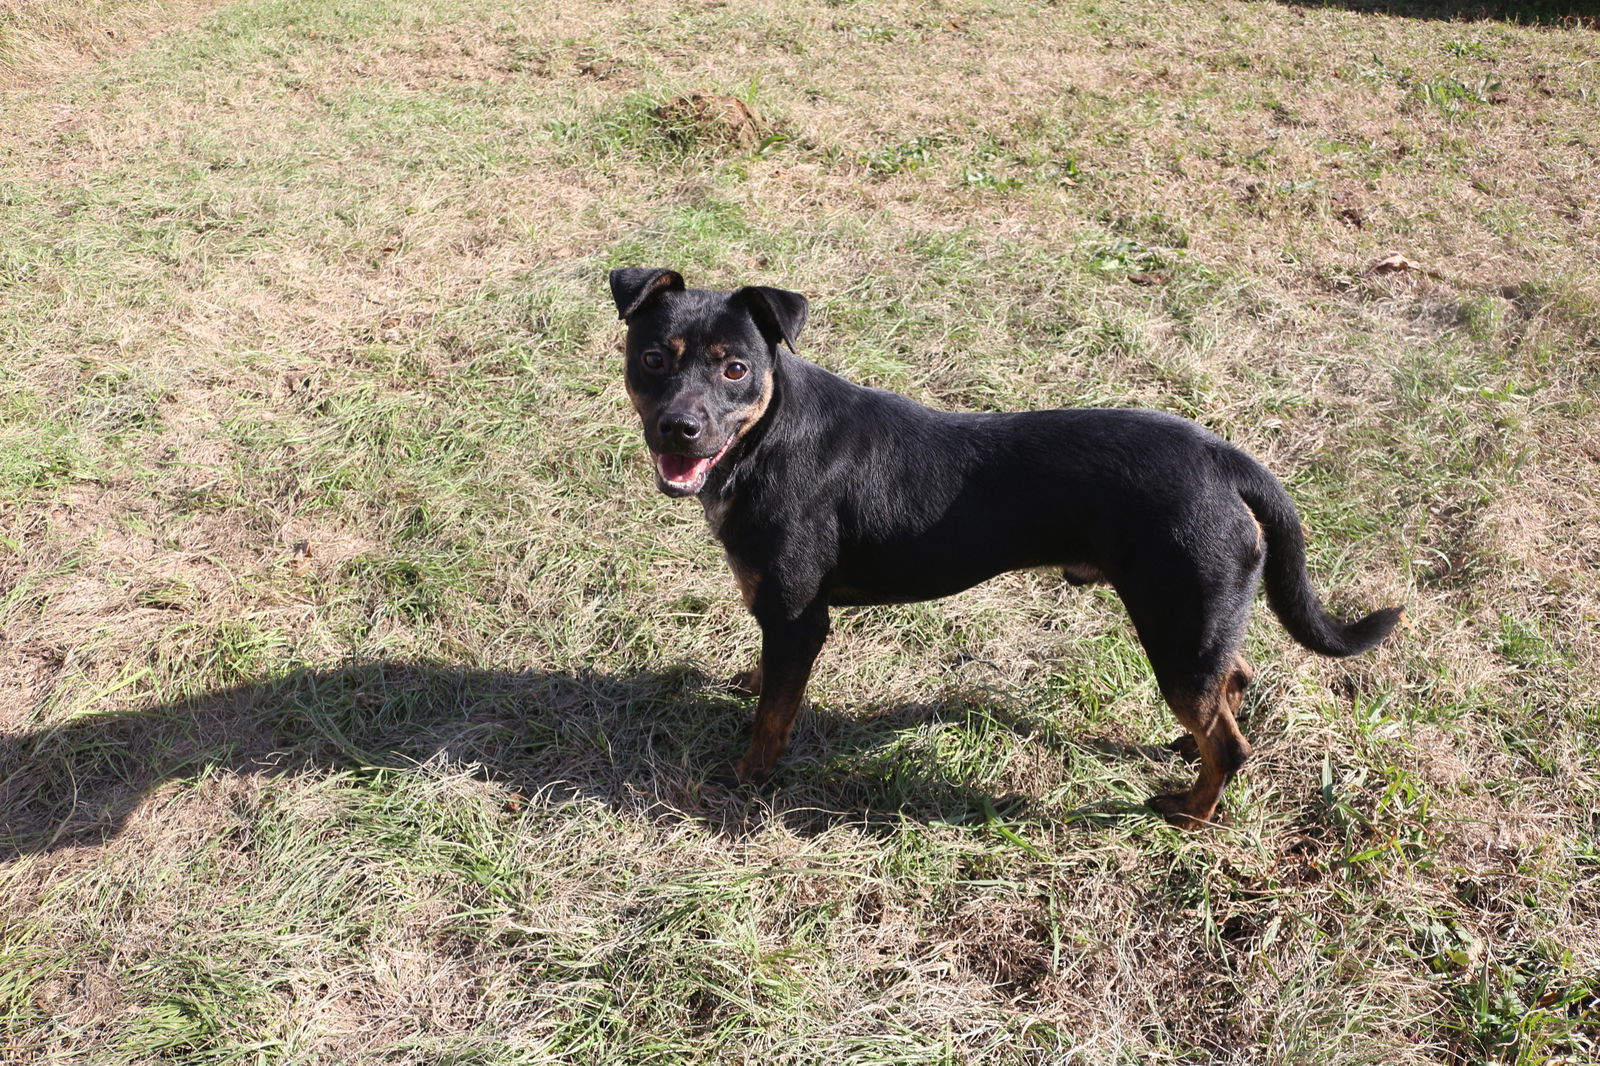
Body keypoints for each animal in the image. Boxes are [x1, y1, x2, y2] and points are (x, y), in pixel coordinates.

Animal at [608, 264, 1401, 819]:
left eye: (735, 368)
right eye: (653, 360)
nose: (680, 427)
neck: (765, 437)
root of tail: (1225, 458)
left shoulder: (801, 621)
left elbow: (775, 716)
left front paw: (750, 776)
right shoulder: (781, 617)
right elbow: (770, 684)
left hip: (1177, 623)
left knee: (1232, 744)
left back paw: (1190, 811)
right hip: (1198, 620)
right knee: (1232, 679)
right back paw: (1187, 751)